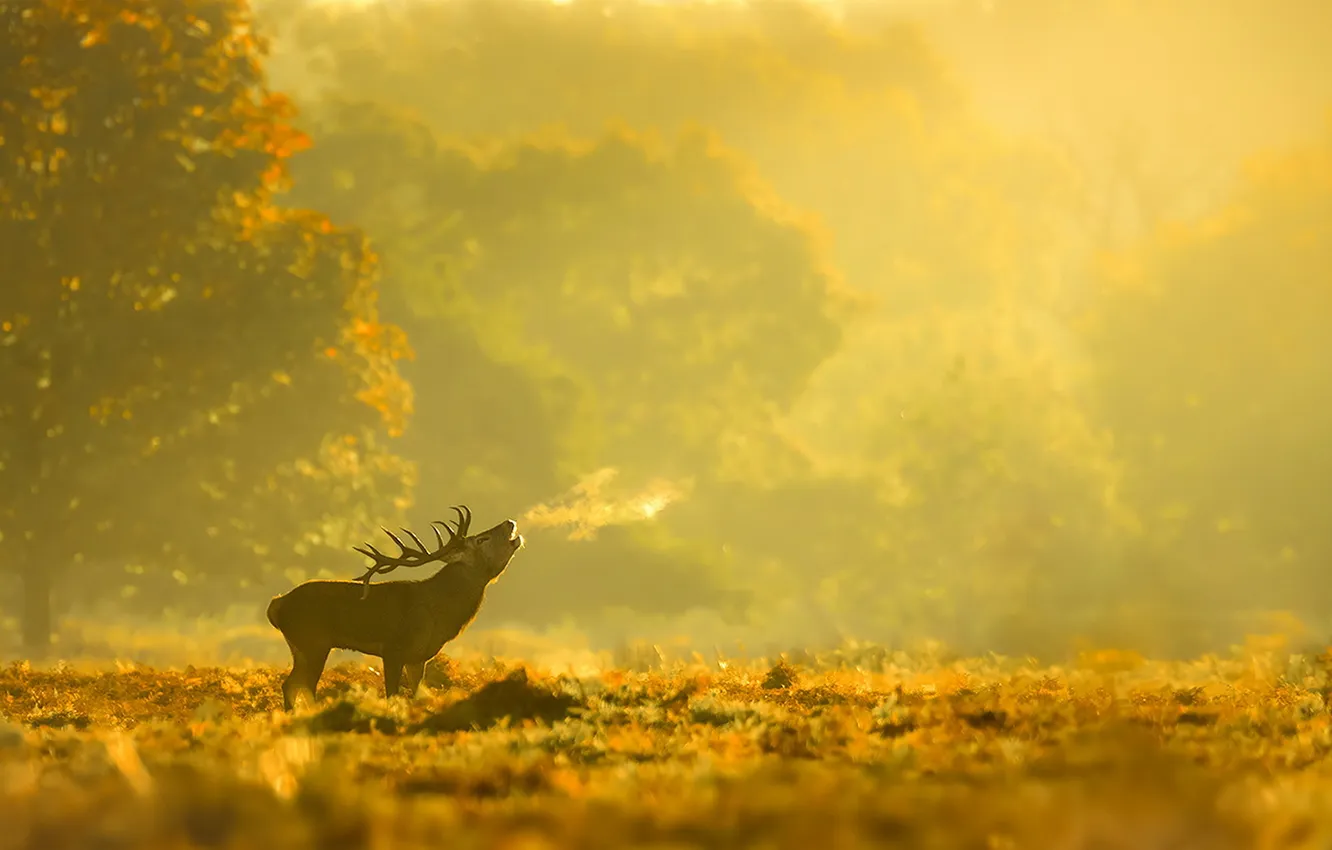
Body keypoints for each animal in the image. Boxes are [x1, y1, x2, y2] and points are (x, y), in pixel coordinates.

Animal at [265, 505, 524, 710]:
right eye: (482, 539)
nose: (509, 522)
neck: (439, 612)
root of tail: (276, 604)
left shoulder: (418, 657)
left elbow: (417, 695)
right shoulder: (393, 649)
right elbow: (392, 695)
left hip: (302, 646)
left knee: (290, 685)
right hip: (313, 641)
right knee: (302, 686)